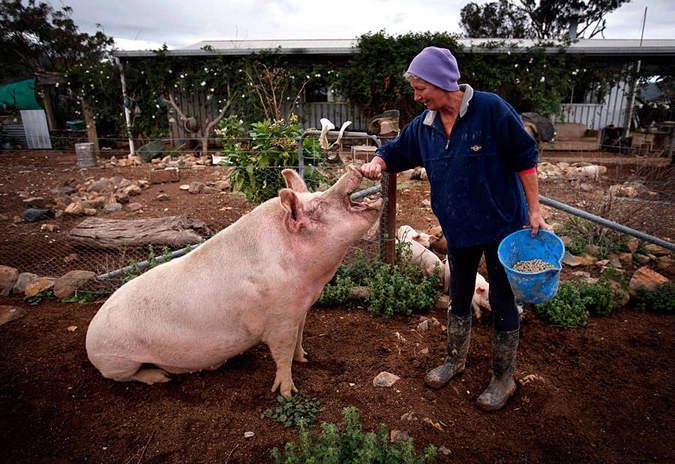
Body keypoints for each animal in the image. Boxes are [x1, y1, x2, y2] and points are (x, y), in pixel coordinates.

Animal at [86, 165, 382, 396]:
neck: (311, 285)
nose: (354, 169)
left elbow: (298, 340)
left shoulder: (300, 311)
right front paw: (288, 393)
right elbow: (282, 354)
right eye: (318, 205)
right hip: (116, 360)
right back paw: (160, 377)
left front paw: (305, 359)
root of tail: (90, 334)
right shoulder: (280, 319)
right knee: (128, 375)